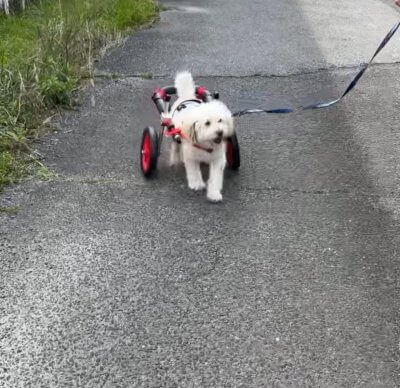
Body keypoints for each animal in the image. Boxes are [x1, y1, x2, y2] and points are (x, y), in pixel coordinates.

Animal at [169, 71, 234, 202]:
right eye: (207, 123)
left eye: (220, 120)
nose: (220, 132)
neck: (207, 145)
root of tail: (186, 96)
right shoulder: (190, 157)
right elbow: (193, 171)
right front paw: (197, 184)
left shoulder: (218, 159)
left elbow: (215, 177)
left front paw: (214, 193)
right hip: (174, 131)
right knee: (175, 145)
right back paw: (174, 158)